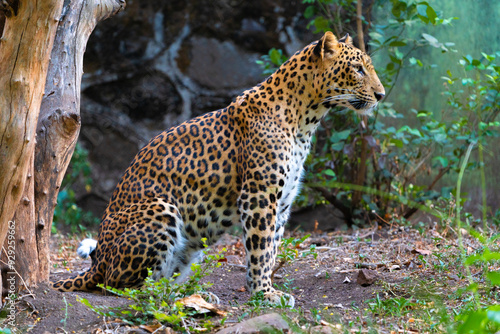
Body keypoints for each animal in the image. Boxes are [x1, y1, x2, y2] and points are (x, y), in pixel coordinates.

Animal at [51, 32, 382, 308]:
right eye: (358, 69)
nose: (380, 95)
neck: (306, 119)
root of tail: (97, 262)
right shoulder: (258, 196)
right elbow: (260, 249)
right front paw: (264, 293)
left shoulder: (283, 202)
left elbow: (272, 248)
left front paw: (264, 289)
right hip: (160, 209)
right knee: (120, 286)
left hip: (190, 240)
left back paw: (194, 295)